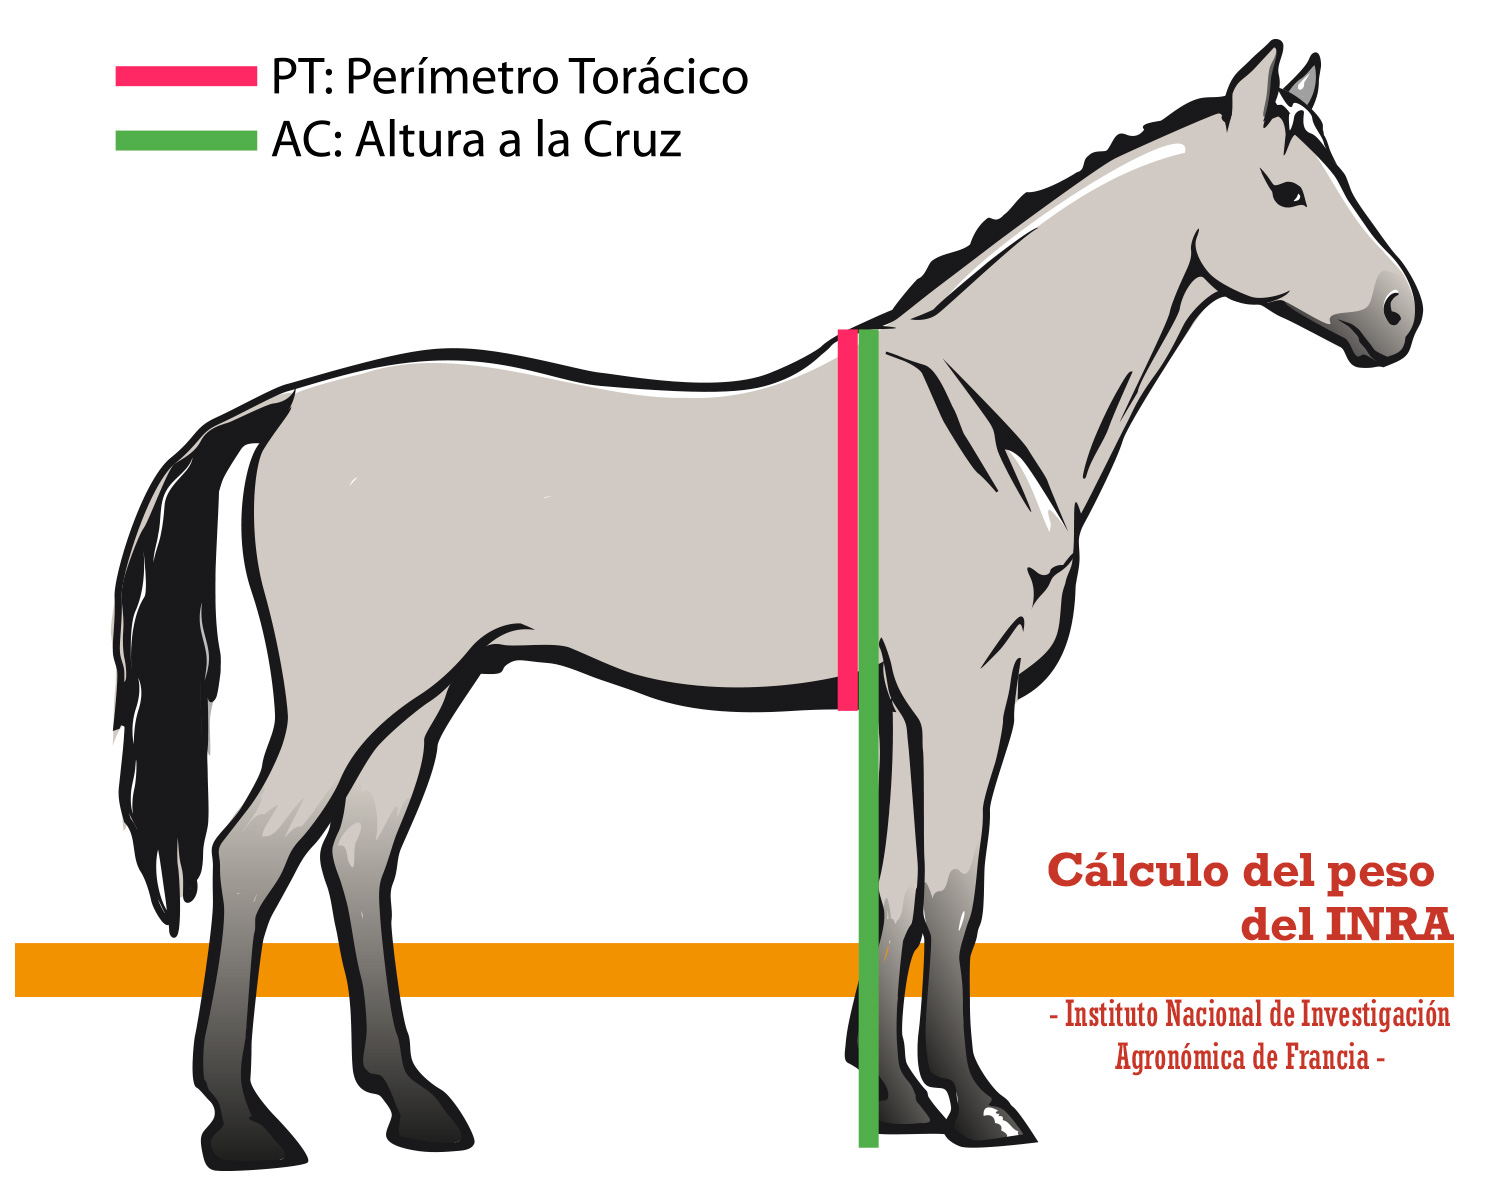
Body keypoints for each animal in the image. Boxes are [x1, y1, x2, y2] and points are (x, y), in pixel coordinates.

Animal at [112, 41, 1419, 1168]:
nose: (1401, 316)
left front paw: (897, 1102)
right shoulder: (966, 694)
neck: (988, 425)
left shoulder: (907, 703)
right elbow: (953, 889)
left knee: (361, 855)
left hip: (425, 692)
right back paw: (242, 1125)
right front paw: (977, 1104)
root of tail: (288, 404)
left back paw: (415, 1105)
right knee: (253, 853)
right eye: (1289, 192)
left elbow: (894, 887)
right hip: (352, 692)